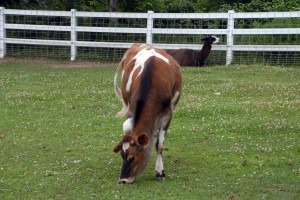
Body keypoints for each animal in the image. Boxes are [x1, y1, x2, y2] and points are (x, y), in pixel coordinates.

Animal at [113, 43, 182, 184]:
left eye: (132, 157)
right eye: (122, 155)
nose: (122, 180)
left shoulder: (168, 115)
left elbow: (159, 145)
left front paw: (160, 172)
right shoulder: (131, 112)